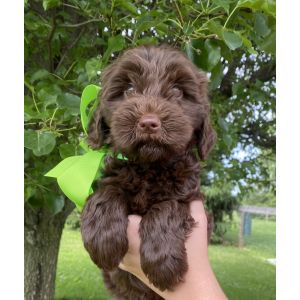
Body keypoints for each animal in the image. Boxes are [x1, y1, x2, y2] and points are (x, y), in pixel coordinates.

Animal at [79, 45, 216, 300]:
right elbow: (106, 192)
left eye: (177, 91)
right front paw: (103, 240)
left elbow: (168, 206)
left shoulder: (191, 197)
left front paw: (163, 264)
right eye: (129, 89)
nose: (149, 123)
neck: (149, 167)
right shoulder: (113, 176)